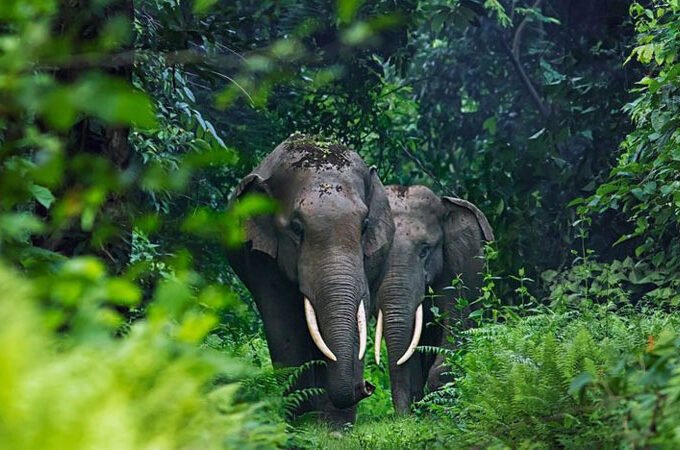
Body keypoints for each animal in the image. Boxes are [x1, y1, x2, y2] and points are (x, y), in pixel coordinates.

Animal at [226, 133, 395, 425]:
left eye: (364, 226)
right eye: (296, 228)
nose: (367, 386)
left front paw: (336, 427)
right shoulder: (261, 259)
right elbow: (284, 324)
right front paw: (301, 421)